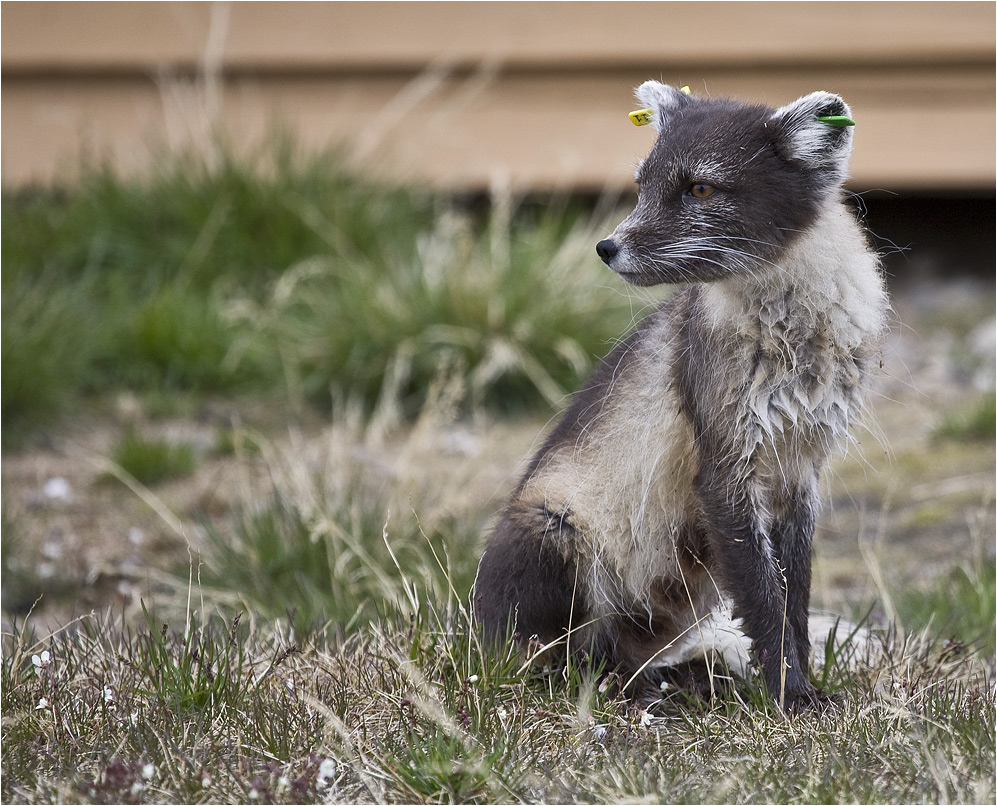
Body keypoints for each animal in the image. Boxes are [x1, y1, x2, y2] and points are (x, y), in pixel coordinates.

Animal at [474, 83, 888, 712]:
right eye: (642, 184)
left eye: (700, 189)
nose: (606, 246)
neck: (796, 341)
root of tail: (470, 637)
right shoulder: (725, 466)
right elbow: (765, 605)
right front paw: (790, 698)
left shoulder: (800, 470)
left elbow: (793, 600)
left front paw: (808, 688)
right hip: (554, 535)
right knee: (563, 664)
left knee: (623, 659)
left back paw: (680, 683)